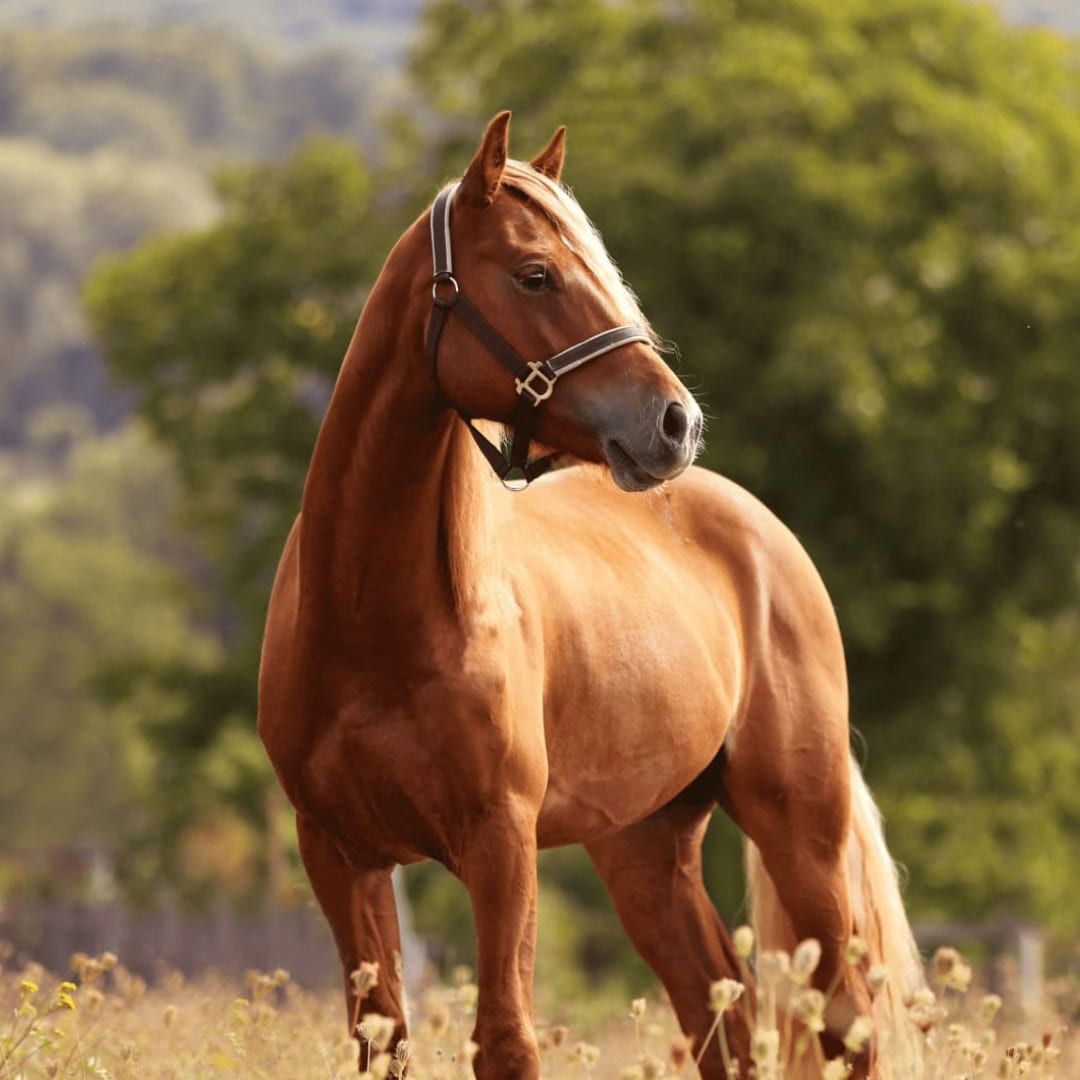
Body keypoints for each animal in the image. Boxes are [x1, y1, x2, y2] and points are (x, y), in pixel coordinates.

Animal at [258, 111, 924, 1080]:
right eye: (535, 273)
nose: (676, 423)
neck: (372, 623)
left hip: (802, 831)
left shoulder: (500, 846)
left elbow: (506, 1040)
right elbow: (381, 1040)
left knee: (845, 1021)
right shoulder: (339, 855)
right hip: (644, 850)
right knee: (721, 1014)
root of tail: (765, 534)